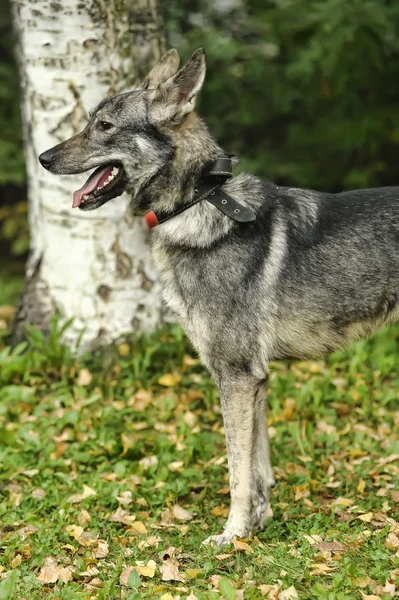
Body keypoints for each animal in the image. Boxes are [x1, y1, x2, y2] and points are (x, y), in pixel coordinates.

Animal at [39, 49, 399, 548]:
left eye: (105, 126)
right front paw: (256, 526)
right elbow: (259, 469)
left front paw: (232, 535)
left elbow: (237, 472)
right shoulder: (254, 380)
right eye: (92, 121)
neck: (199, 202)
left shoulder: (237, 376)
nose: (43, 158)